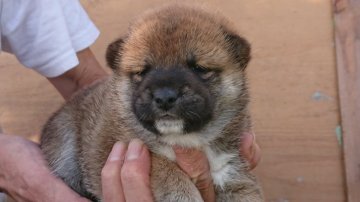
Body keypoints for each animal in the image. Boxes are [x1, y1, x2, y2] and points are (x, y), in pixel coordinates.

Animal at [40, 3, 262, 201]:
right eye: (142, 72)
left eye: (199, 68)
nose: (164, 98)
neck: (186, 140)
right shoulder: (133, 150)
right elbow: (167, 170)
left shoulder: (231, 170)